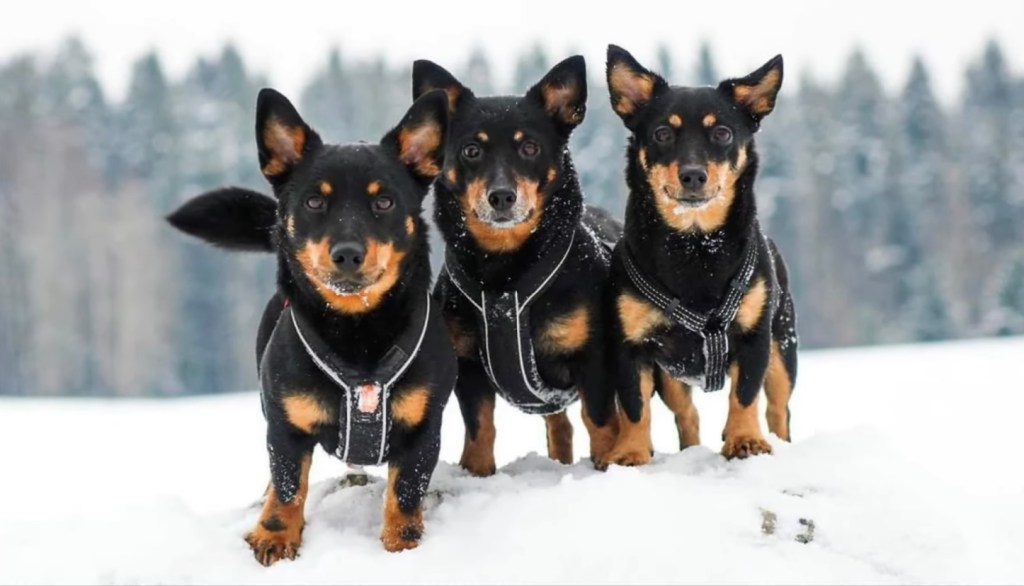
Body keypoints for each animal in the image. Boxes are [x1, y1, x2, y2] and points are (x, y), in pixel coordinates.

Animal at [167, 87, 456, 561]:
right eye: (315, 201)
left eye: (384, 201)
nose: (347, 253)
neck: (358, 330)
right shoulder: (285, 427)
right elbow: (287, 487)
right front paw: (275, 536)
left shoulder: (422, 429)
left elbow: (405, 492)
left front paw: (402, 542)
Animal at [409, 56, 618, 475]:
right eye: (472, 150)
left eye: (530, 147)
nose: (502, 196)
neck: (505, 273)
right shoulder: (468, 363)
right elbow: (480, 427)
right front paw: (477, 472)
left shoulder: (595, 359)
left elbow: (602, 423)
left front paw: (609, 467)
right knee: (559, 425)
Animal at [598, 45, 798, 465]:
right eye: (662, 133)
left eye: (722, 133)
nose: (692, 175)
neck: (694, 246)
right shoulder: (631, 347)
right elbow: (634, 407)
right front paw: (630, 453)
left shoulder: (754, 339)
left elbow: (744, 396)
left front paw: (744, 440)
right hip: (672, 376)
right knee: (686, 414)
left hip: (782, 350)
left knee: (777, 409)